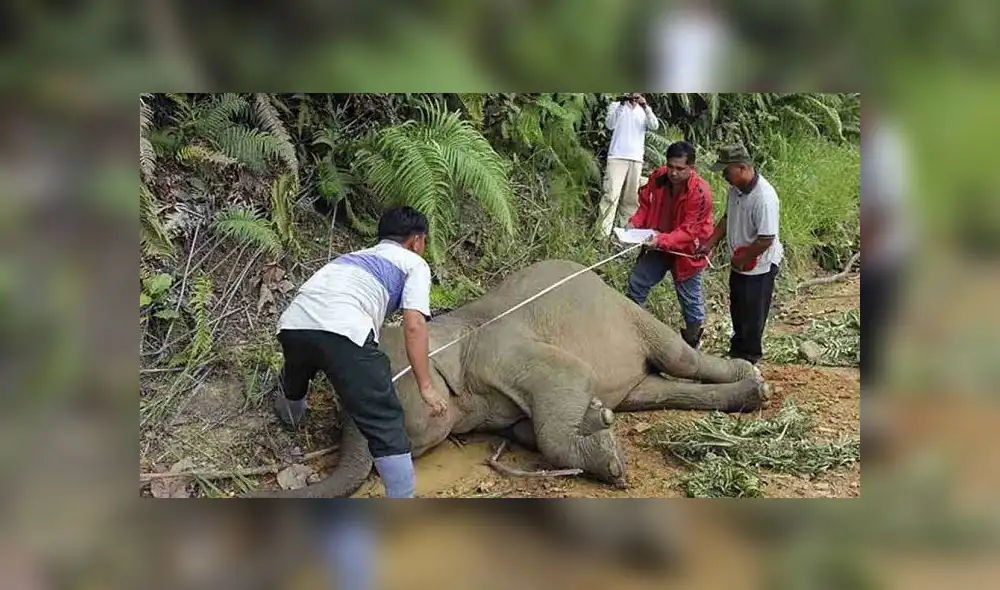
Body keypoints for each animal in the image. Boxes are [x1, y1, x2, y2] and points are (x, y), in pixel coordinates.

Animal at [244, 259, 771, 498]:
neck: (447, 335)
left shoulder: (501, 351)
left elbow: (569, 376)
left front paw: (609, 458)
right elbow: (523, 427)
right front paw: (597, 421)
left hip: (627, 312)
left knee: (679, 359)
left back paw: (755, 379)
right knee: (654, 391)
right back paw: (745, 394)